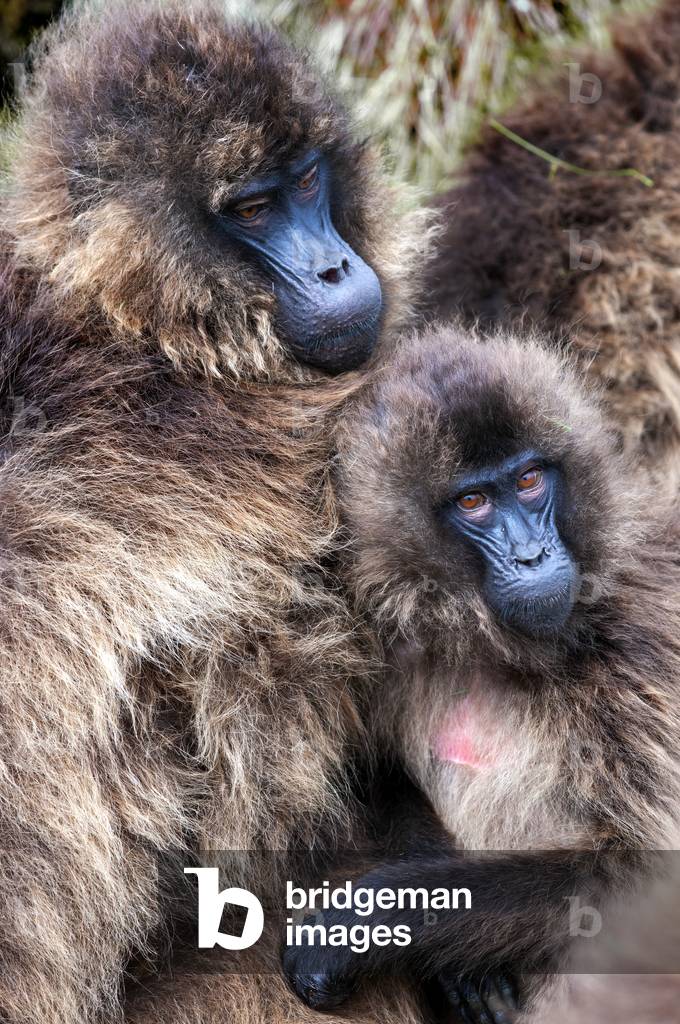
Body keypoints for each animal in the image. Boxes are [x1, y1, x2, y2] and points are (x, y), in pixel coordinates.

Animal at [282, 323, 680, 1022]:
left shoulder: (638, 650)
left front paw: (359, 925)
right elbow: (366, 770)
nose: (531, 556)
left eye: (528, 481)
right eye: (472, 501)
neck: (495, 648)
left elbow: (638, 881)